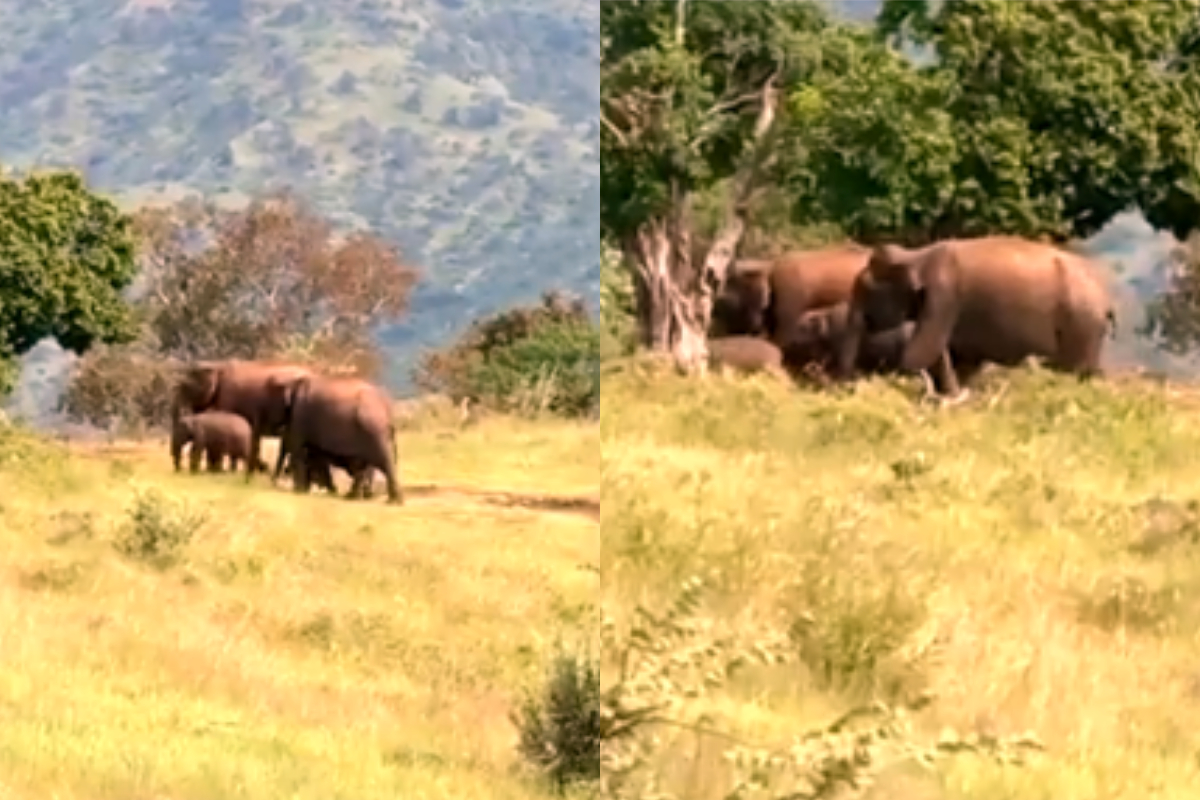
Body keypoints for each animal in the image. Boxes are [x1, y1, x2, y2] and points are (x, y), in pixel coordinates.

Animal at [276, 375, 403, 504]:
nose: (273, 485)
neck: (294, 384)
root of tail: (388, 409)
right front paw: (307, 490)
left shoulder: (300, 414)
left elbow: (299, 450)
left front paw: (300, 491)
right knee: (364, 466)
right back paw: (357, 497)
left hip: (374, 430)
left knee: (381, 463)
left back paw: (389, 501)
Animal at [835, 236, 1116, 399]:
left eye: (864, 292)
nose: (849, 386)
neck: (916, 255)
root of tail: (1107, 300)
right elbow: (959, 358)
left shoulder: (944, 296)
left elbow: (921, 352)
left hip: (1081, 322)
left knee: (1078, 369)